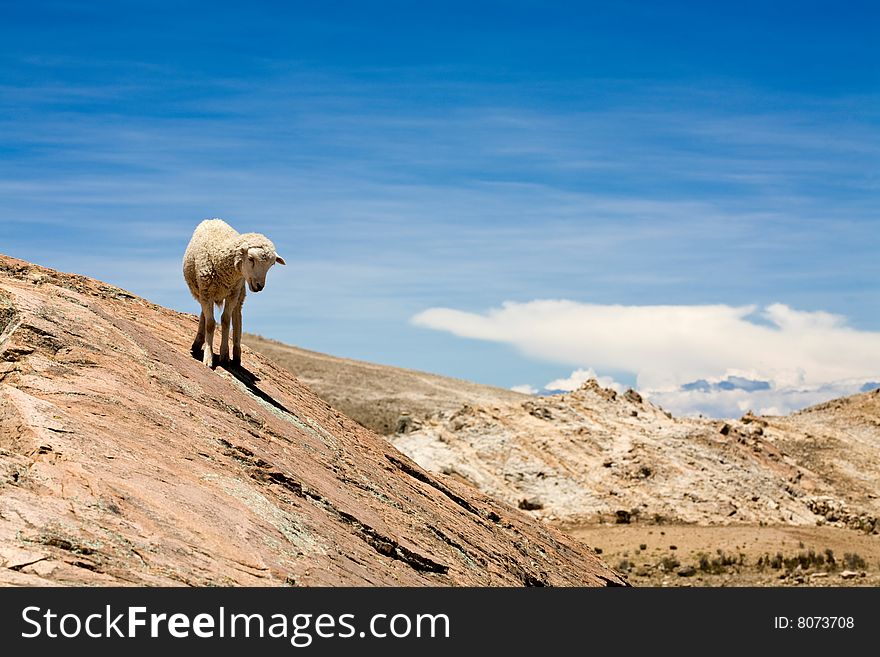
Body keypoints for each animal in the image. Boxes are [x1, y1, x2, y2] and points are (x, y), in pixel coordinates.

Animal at [182, 218, 286, 366]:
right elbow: (210, 323)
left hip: (240, 291)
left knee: (237, 317)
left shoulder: (233, 294)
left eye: (271, 265)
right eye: (250, 258)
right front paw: (208, 357)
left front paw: (224, 354)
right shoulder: (206, 292)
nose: (259, 286)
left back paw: (236, 354)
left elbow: (226, 320)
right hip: (201, 291)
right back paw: (198, 342)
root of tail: (214, 219)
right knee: (205, 314)